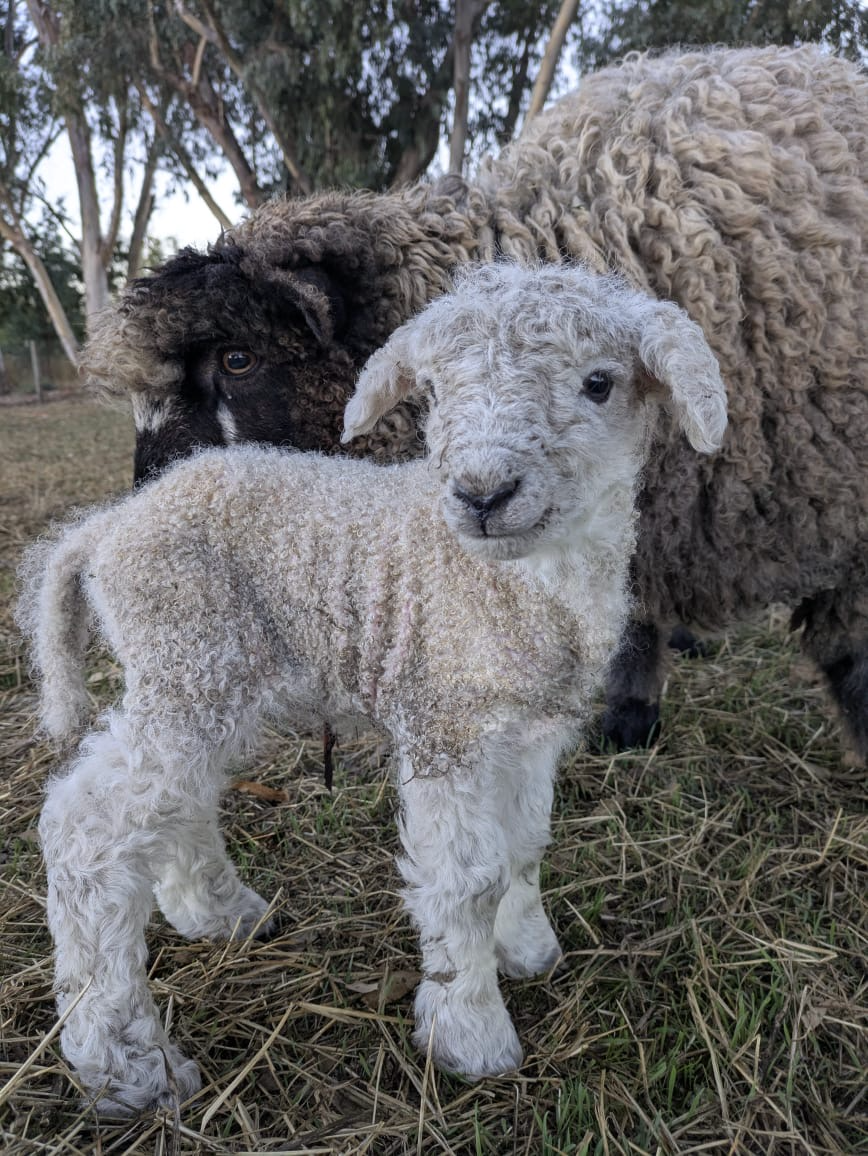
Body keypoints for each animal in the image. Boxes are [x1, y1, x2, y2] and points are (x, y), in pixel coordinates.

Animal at [18, 263, 726, 1114]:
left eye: (599, 383)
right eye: (436, 389)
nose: (482, 495)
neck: (511, 584)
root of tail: (105, 528)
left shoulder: (530, 729)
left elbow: (524, 845)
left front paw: (528, 948)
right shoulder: (447, 721)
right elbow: (467, 879)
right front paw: (471, 1031)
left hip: (199, 676)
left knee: (176, 800)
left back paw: (218, 913)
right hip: (186, 656)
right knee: (86, 829)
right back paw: (125, 1062)